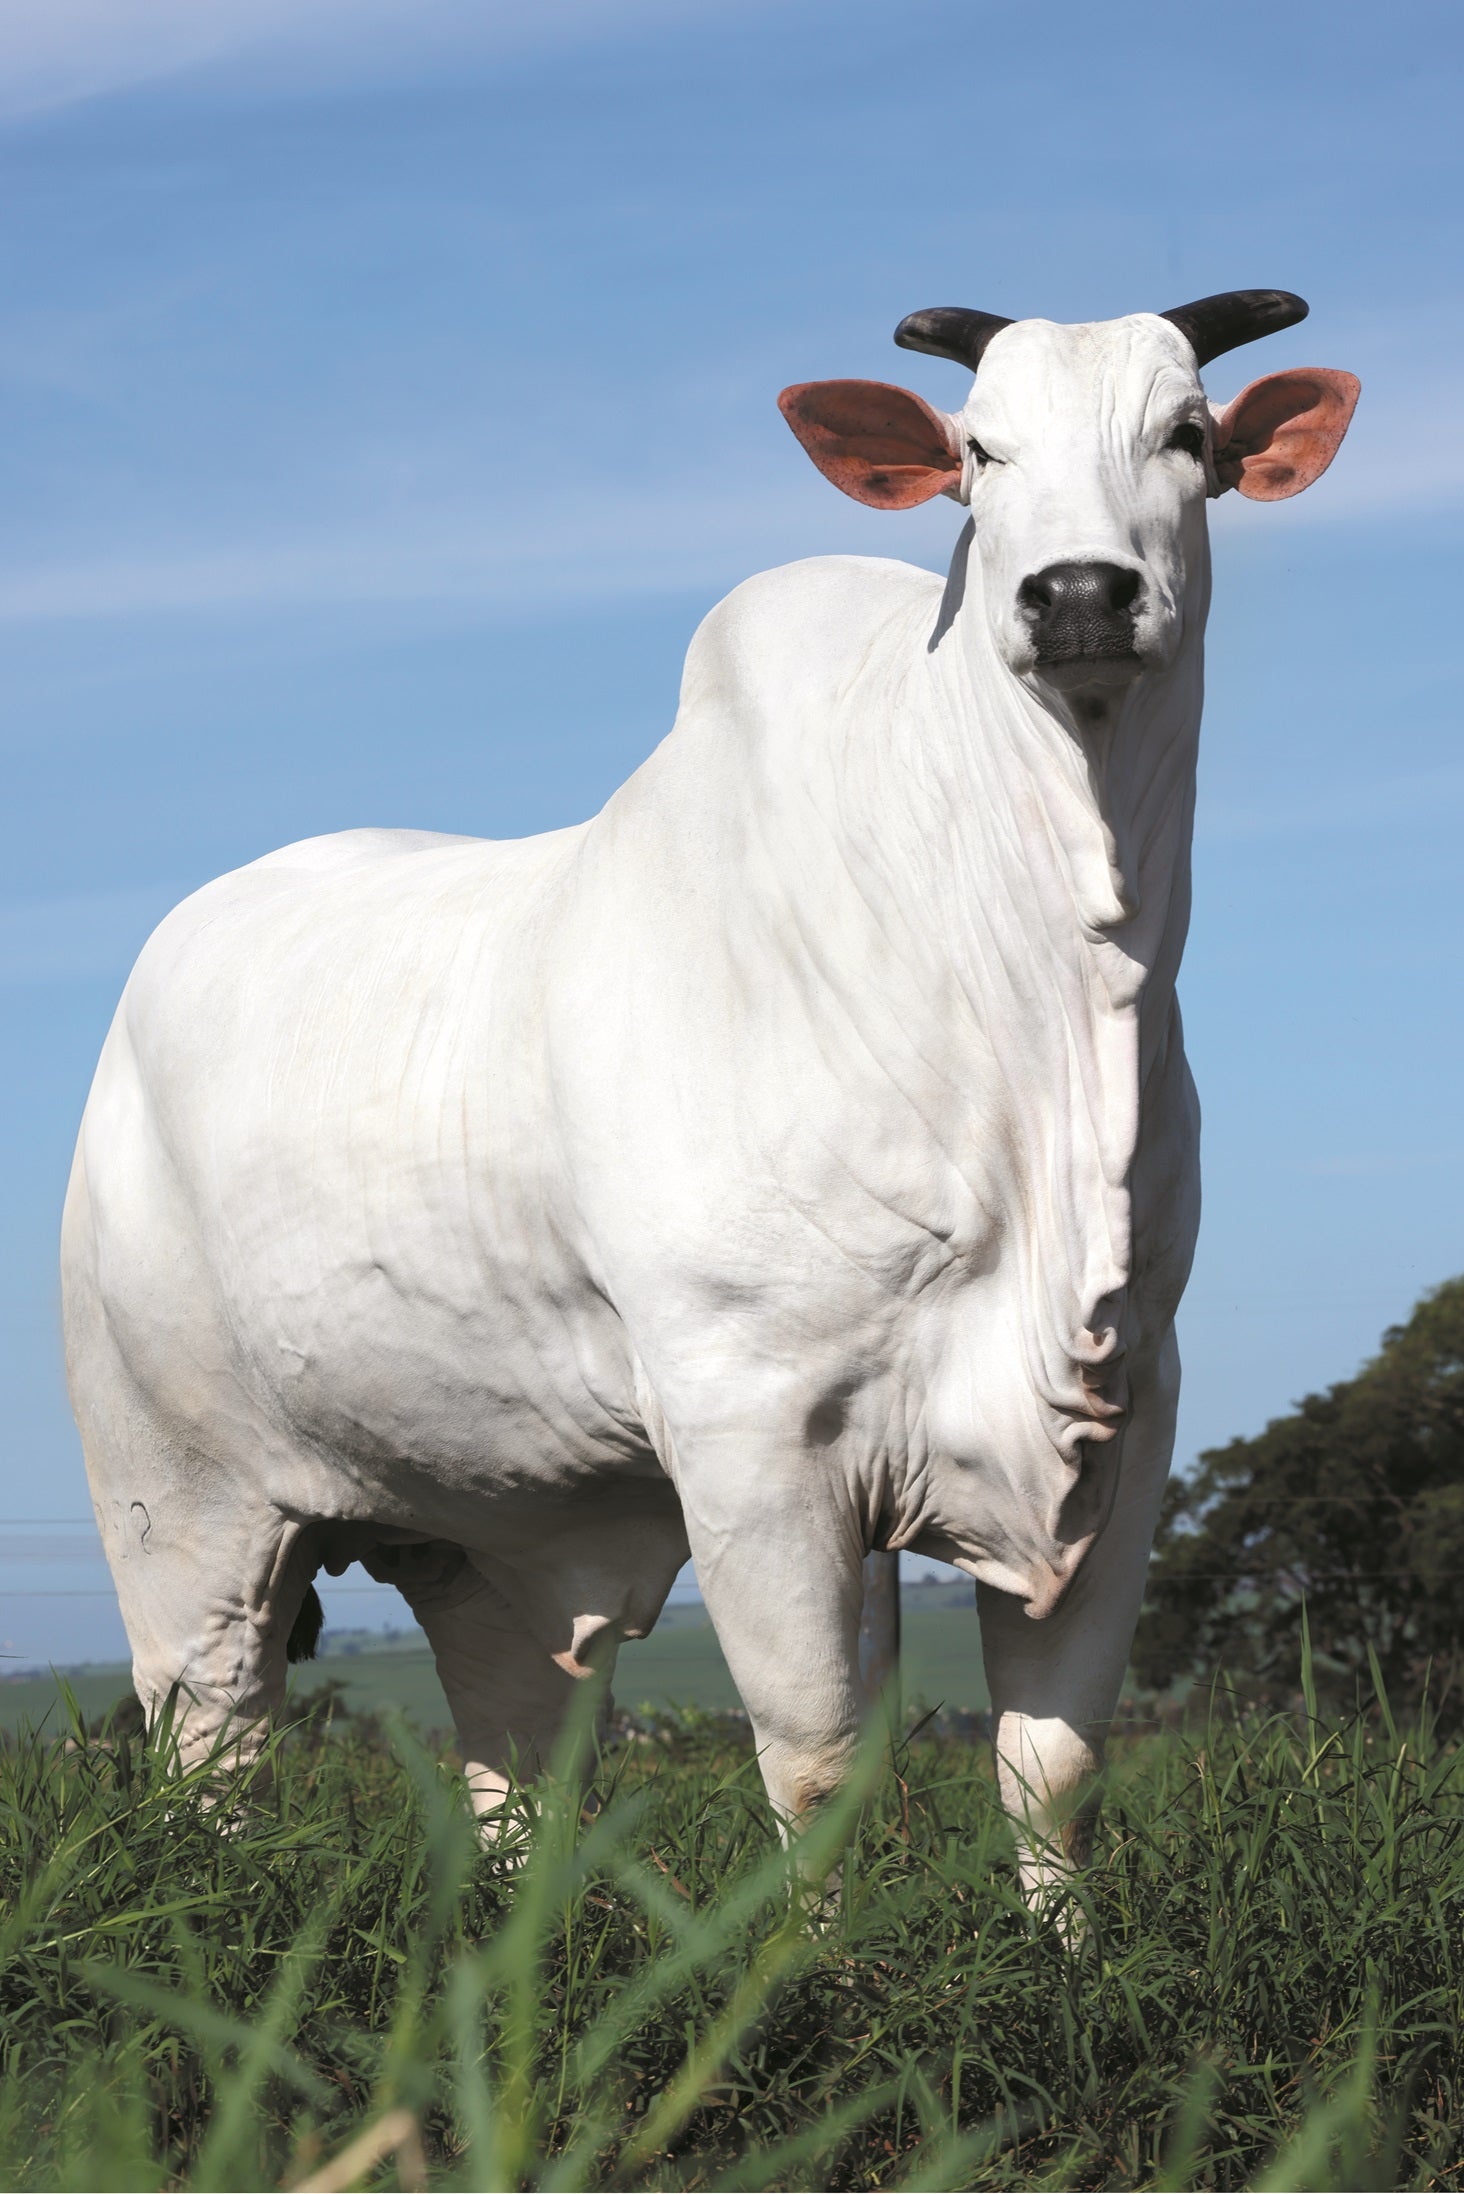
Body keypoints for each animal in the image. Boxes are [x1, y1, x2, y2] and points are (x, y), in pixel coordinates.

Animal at [61, 290, 1358, 1898]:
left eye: (1187, 436)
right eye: (979, 454)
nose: (1074, 593)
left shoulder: (1126, 1412)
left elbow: (1051, 1772)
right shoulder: (756, 1428)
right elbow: (815, 1765)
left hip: (478, 1527)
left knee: (512, 1755)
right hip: (178, 1504)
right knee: (213, 1749)